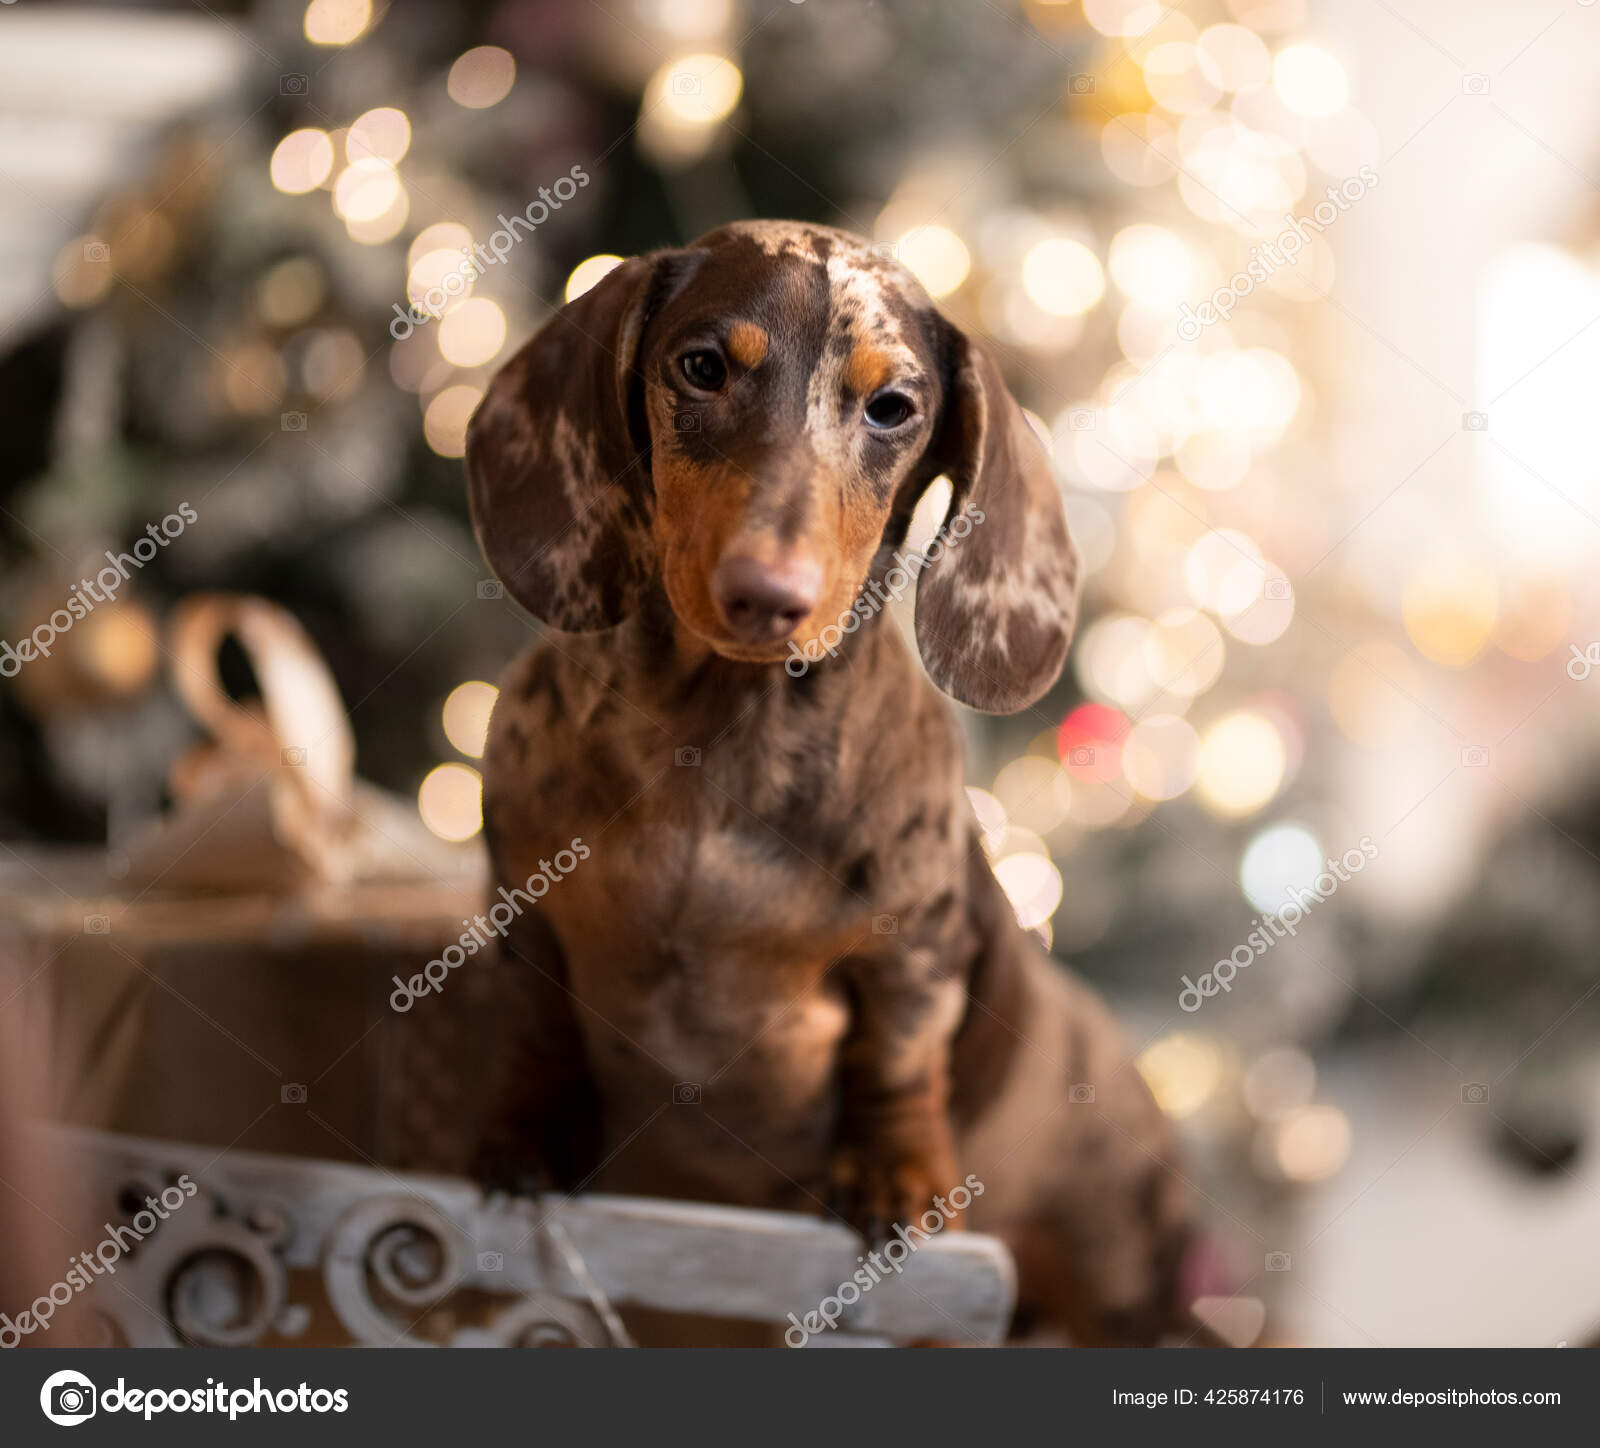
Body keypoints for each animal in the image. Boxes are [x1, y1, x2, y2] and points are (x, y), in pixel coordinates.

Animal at [467, 220, 1196, 1337]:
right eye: (702, 366)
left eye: (892, 407)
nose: (767, 595)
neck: (713, 742)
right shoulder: (524, 911)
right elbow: (537, 1028)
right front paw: (522, 1135)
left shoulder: (918, 949)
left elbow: (897, 1054)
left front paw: (897, 1174)